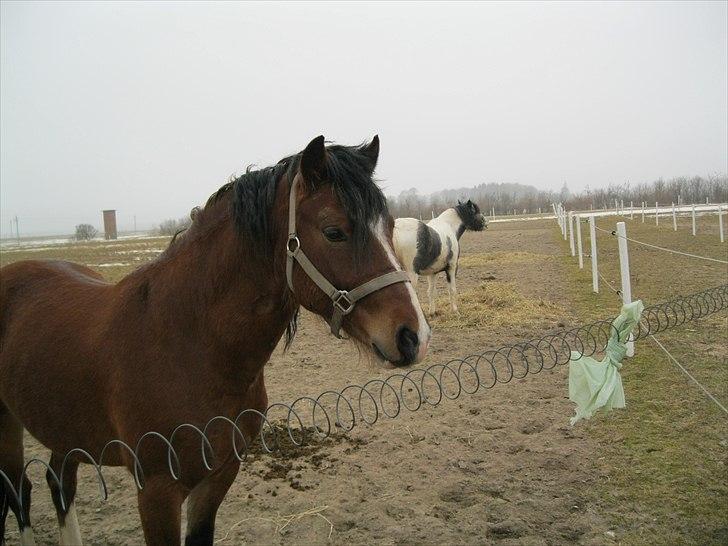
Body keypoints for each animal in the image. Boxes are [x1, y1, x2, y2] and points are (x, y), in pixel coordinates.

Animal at [0, 136, 430, 544]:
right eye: (334, 232)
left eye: (390, 227)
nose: (414, 336)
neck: (188, 346)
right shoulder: (156, 492)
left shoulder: (219, 475)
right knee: (20, 493)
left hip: (63, 428)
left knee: (59, 483)